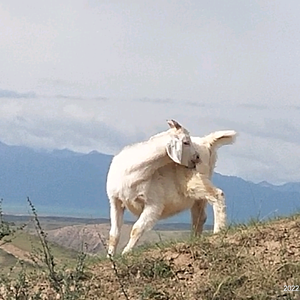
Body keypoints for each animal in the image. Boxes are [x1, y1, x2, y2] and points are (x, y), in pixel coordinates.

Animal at [106, 119, 200, 255]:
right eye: (186, 142)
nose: (197, 157)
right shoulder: (115, 201)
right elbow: (114, 234)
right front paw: (110, 256)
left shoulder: (154, 204)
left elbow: (136, 229)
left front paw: (126, 253)